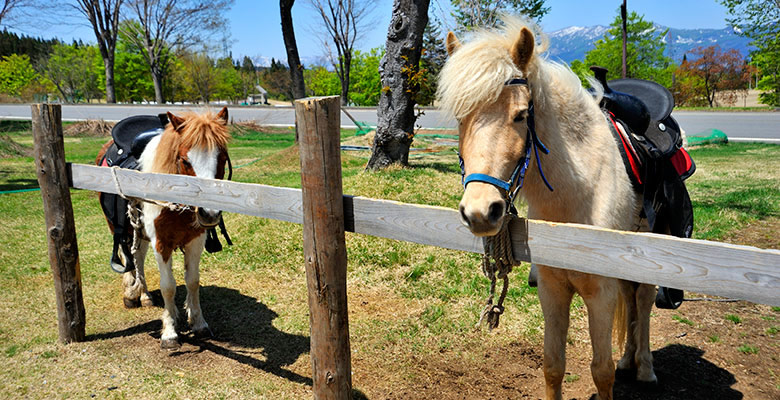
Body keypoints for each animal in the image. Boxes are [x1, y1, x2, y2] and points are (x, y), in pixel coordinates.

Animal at [96, 108, 230, 348]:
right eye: (185, 160)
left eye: (222, 158)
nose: (210, 213)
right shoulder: (161, 243)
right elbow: (168, 286)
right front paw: (169, 333)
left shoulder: (195, 240)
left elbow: (193, 281)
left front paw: (199, 324)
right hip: (117, 227)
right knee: (127, 255)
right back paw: (131, 294)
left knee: (138, 257)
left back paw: (144, 295)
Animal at [438, 17, 660, 398]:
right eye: (460, 119)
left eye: (520, 115)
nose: (480, 211)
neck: (576, 197)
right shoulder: (552, 290)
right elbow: (553, 365)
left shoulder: (600, 295)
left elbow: (601, 371)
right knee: (631, 299)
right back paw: (629, 359)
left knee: (643, 300)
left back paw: (644, 366)